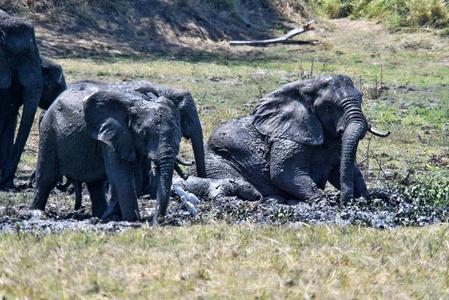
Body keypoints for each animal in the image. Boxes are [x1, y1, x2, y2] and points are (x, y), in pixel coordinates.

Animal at [30, 81, 182, 221]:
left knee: (95, 184)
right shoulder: (112, 136)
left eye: (176, 133)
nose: (158, 220)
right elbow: (121, 174)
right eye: (145, 134)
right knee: (46, 178)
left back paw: (99, 216)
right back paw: (35, 213)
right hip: (49, 132)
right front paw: (132, 220)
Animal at [182, 75, 388, 206]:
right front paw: (322, 202)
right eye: (328, 107)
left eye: (361, 98)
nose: (345, 202)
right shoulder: (289, 137)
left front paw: (365, 198)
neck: (306, 88)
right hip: (214, 163)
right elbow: (285, 173)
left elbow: (342, 170)